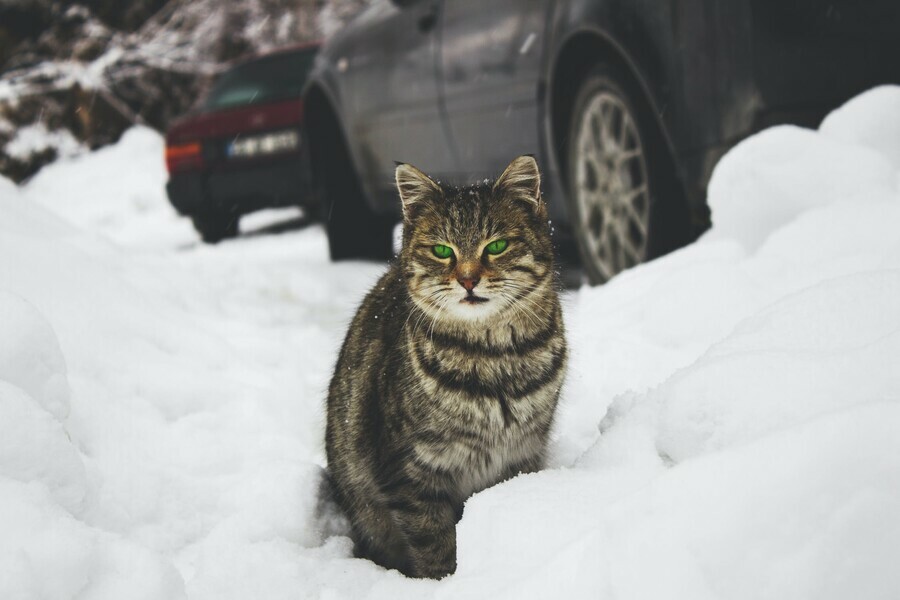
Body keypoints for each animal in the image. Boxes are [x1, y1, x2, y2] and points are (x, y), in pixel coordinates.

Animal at [326, 157, 568, 580]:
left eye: (496, 246)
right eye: (442, 251)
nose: (468, 279)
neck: (495, 358)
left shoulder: (522, 454)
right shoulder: (410, 473)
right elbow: (435, 545)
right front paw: (445, 583)